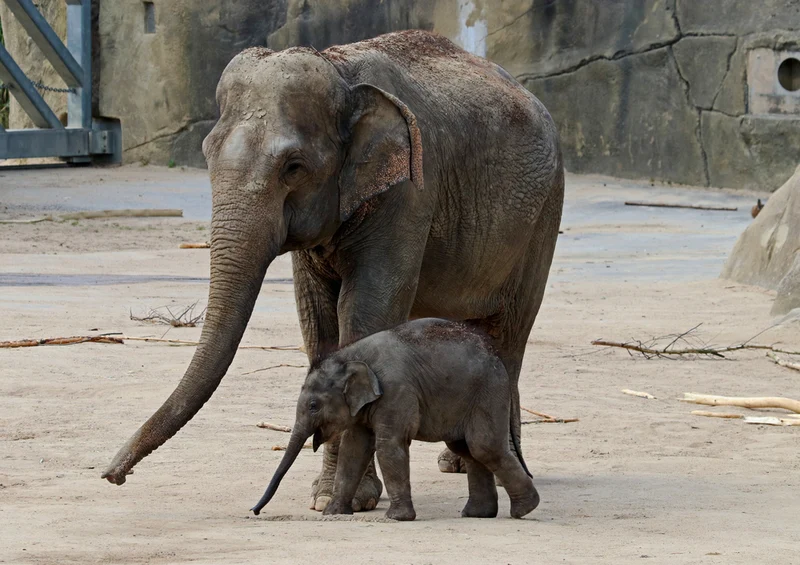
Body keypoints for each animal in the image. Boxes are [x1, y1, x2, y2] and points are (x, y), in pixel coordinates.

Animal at [251, 318, 540, 521]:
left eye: (313, 406)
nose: (254, 511)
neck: (352, 355)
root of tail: (497, 357)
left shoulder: (396, 391)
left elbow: (388, 446)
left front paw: (397, 518)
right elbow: (354, 449)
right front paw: (332, 513)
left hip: (487, 393)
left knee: (483, 446)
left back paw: (525, 510)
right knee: (467, 449)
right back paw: (478, 514)